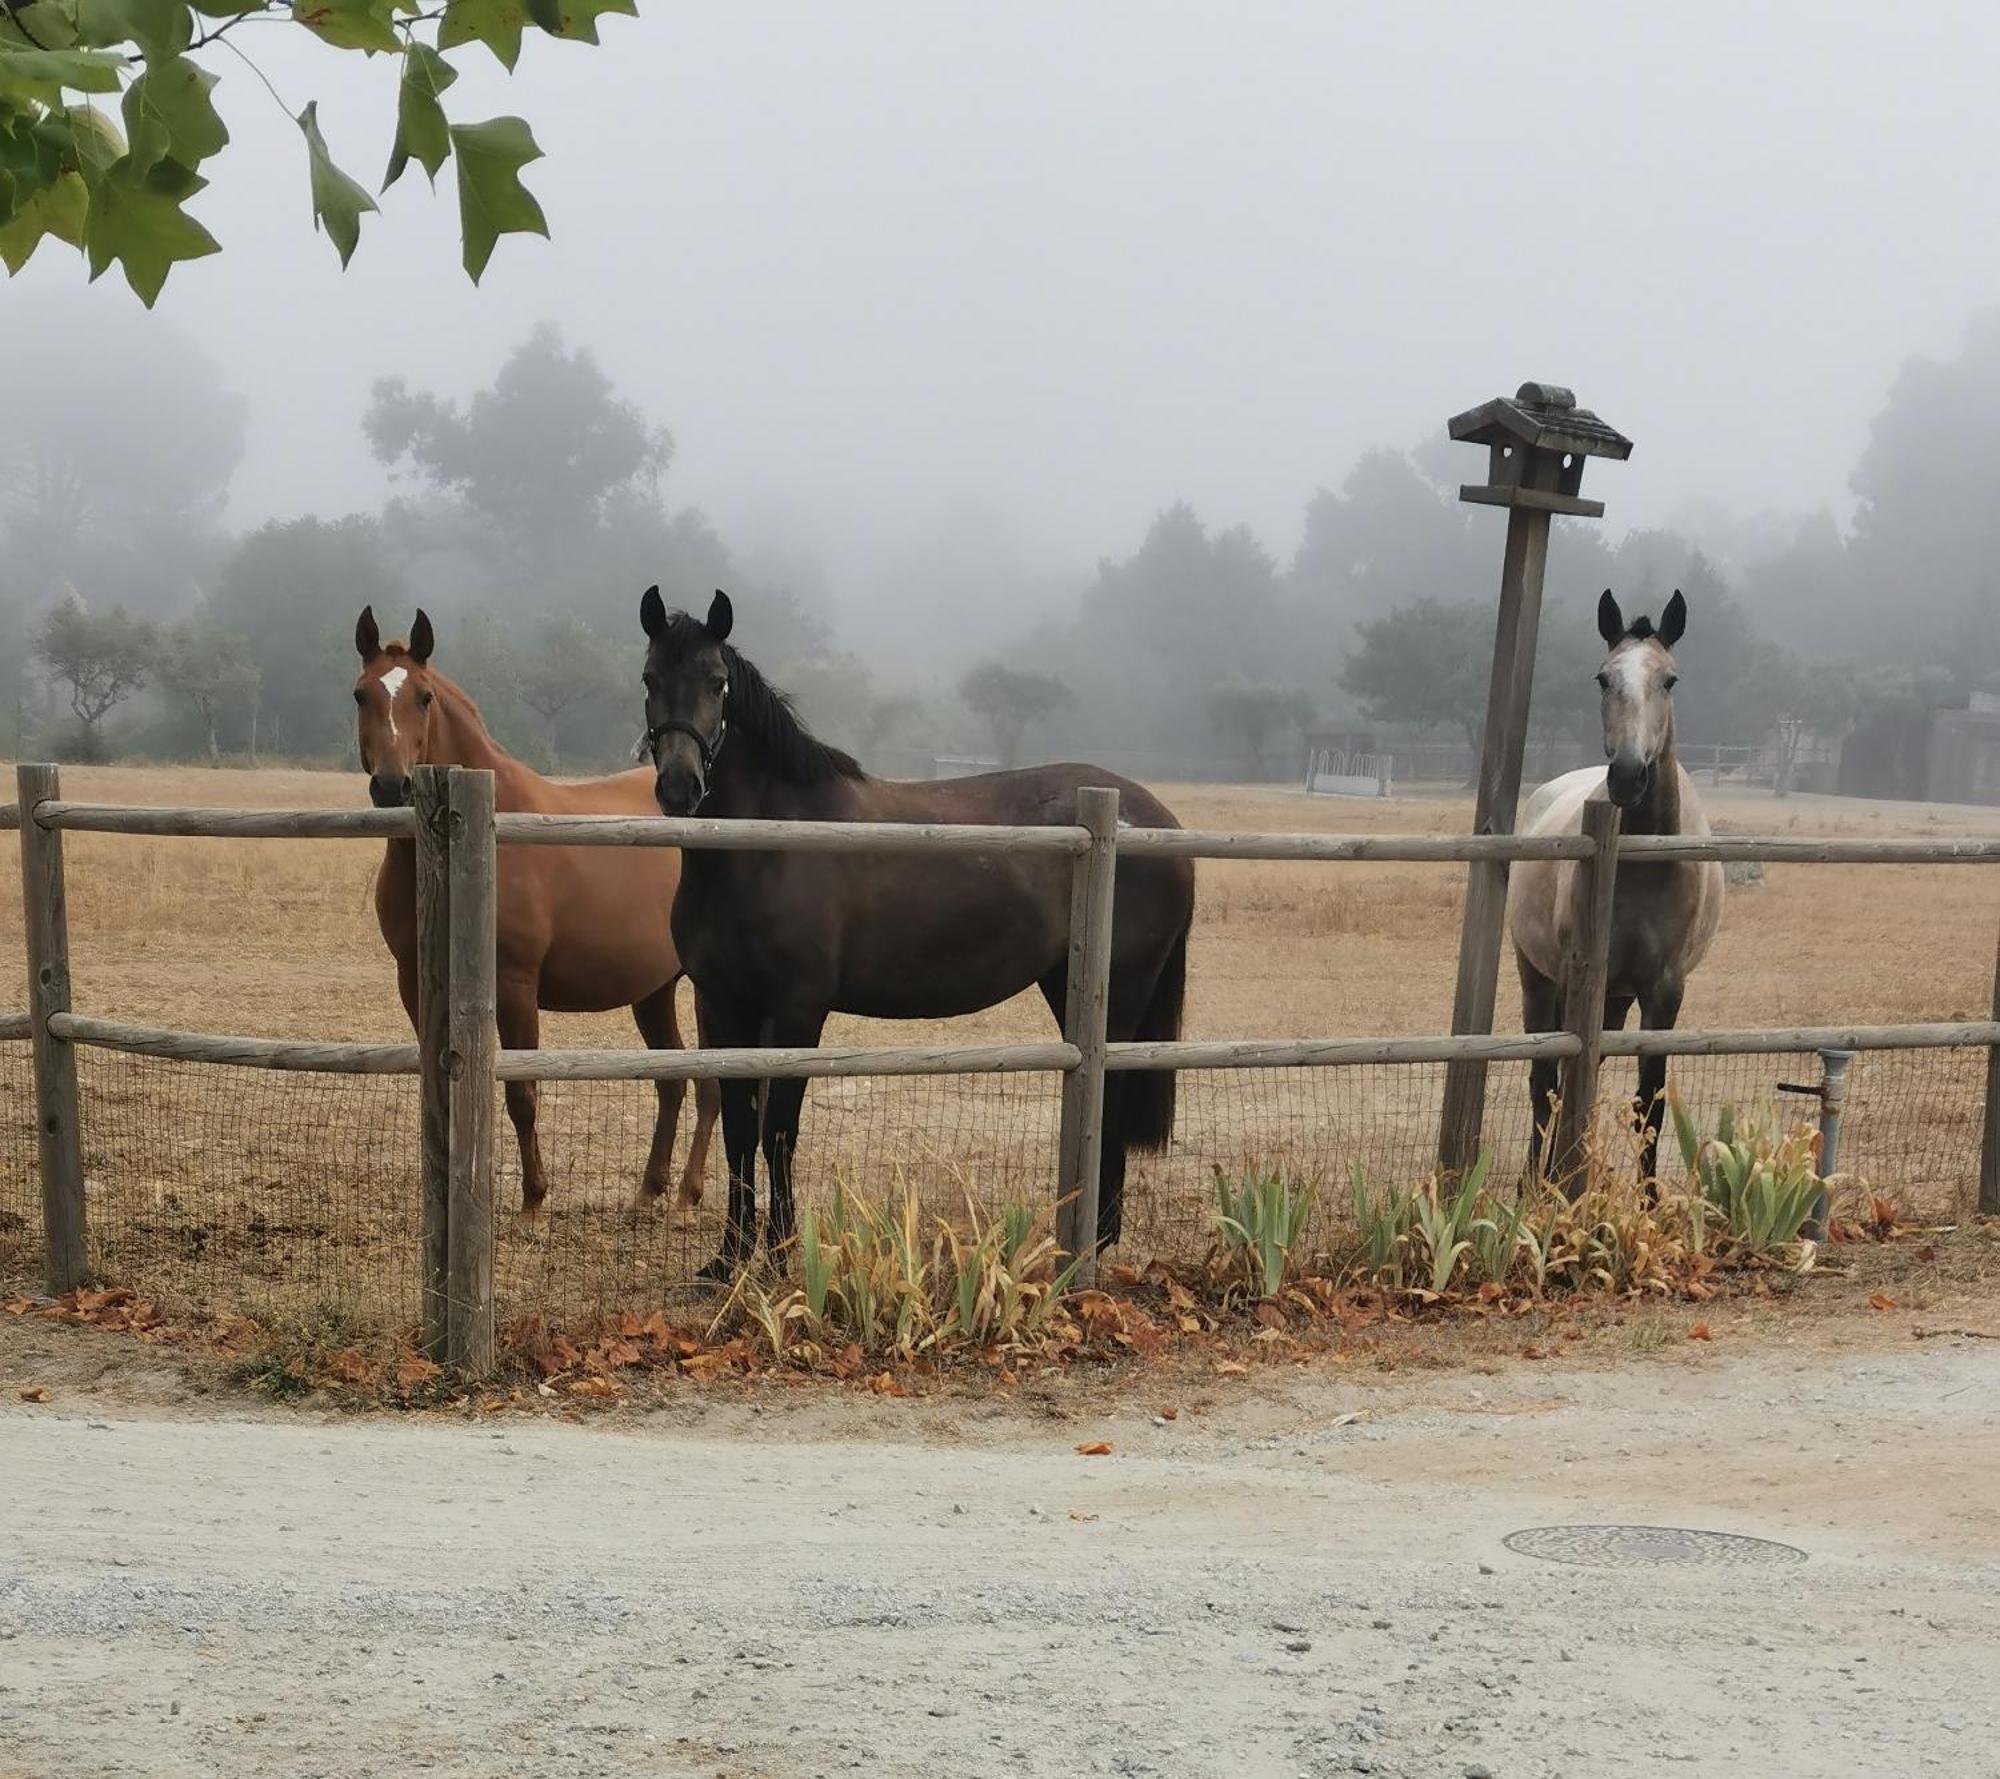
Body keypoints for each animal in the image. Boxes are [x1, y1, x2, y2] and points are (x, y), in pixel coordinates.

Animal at [356, 607, 724, 1207]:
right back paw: (648, 1193)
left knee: (712, 1081)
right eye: (361, 694)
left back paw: (687, 1197)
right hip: (653, 989)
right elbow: (436, 1093)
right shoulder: (415, 983)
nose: (392, 785)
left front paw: (534, 1199)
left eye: (424, 697)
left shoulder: (514, 986)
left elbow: (522, 1095)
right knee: (672, 1080)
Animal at [640, 591, 1192, 1279]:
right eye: (650, 679)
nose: (680, 785)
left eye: (717, 682)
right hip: (1067, 984)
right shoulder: (722, 1004)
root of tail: (1157, 820)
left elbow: (778, 1132)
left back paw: (1089, 1246)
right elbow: (740, 1131)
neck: (763, 847)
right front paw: (729, 1260)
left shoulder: (797, 1011)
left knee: (1110, 1101)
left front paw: (779, 1257)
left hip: (1120, 992)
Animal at [1504, 587, 1728, 1183]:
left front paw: (1646, 1199)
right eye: (1603, 678)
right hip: (1539, 979)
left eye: (1670, 679)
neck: (1645, 859)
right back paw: (1538, 1178)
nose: (1628, 775)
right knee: (1545, 1080)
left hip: (1617, 998)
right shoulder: (1580, 978)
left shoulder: (1664, 989)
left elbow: (1647, 1104)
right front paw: (1559, 1188)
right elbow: (1561, 1083)